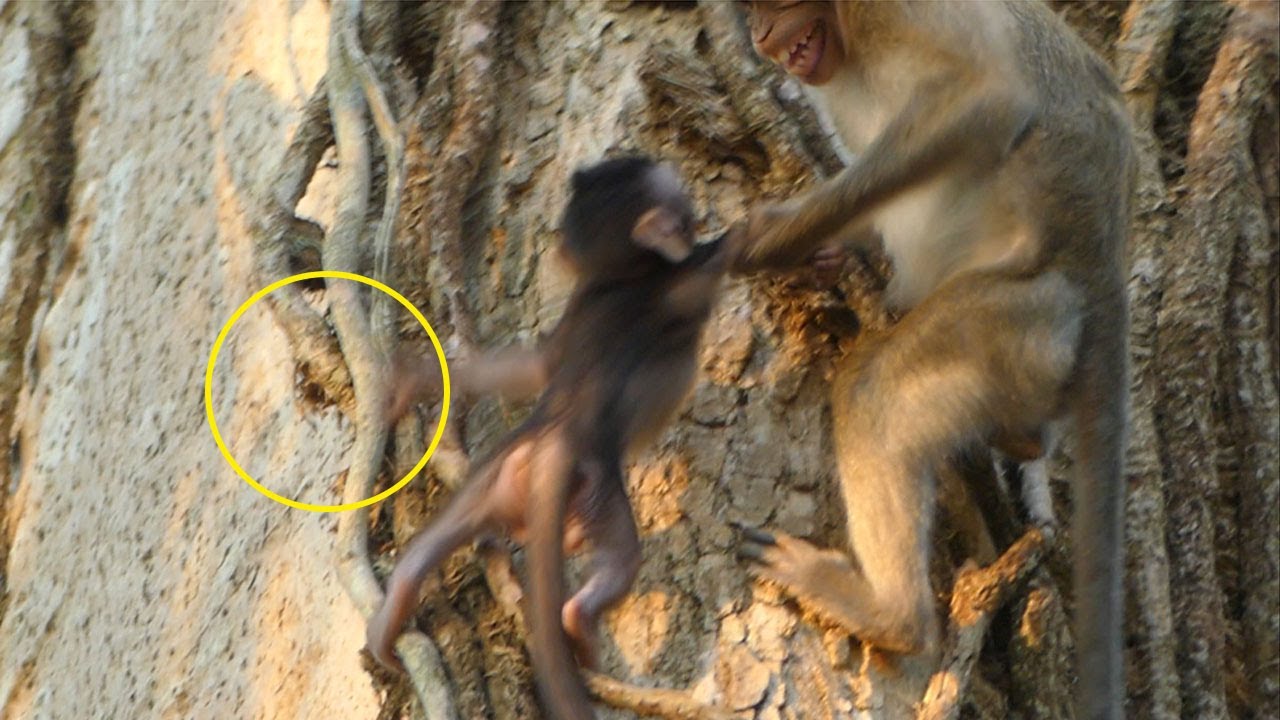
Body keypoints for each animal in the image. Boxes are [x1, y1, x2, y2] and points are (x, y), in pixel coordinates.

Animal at [366, 156, 737, 720]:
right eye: (682, 212)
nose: (691, 215)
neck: (621, 277)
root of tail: (554, 442)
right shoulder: (682, 282)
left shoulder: (582, 306)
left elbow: (535, 366)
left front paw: (414, 380)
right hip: (599, 498)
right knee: (619, 561)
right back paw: (579, 624)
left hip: (490, 480)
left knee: (422, 553)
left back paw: (393, 616)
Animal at [731, 3, 1132, 718]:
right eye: (749, 13)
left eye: (772, 9)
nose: (759, 36)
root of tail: (1100, 269)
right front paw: (828, 249)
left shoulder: (888, 12)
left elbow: (986, 96)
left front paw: (777, 236)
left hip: (1015, 322)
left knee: (873, 392)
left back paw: (892, 617)